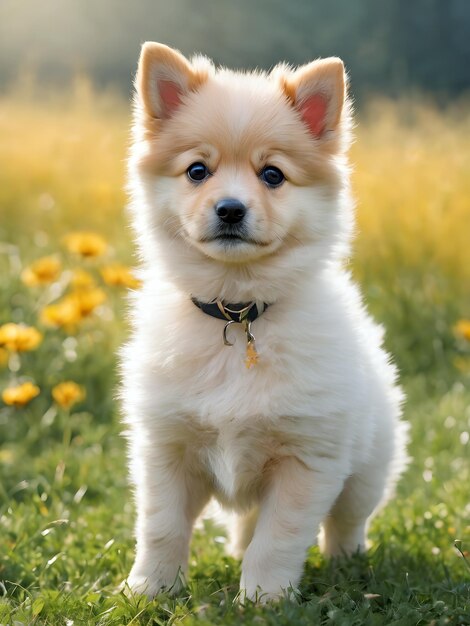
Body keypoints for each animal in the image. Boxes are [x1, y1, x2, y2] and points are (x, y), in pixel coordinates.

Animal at [122, 42, 408, 600]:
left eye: (272, 174)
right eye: (197, 170)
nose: (230, 209)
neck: (238, 312)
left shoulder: (307, 458)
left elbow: (278, 538)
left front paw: (263, 599)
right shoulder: (166, 448)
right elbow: (162, 527)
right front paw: (148, 591)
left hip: (367, 469)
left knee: (346, 520)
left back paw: (346, 563)